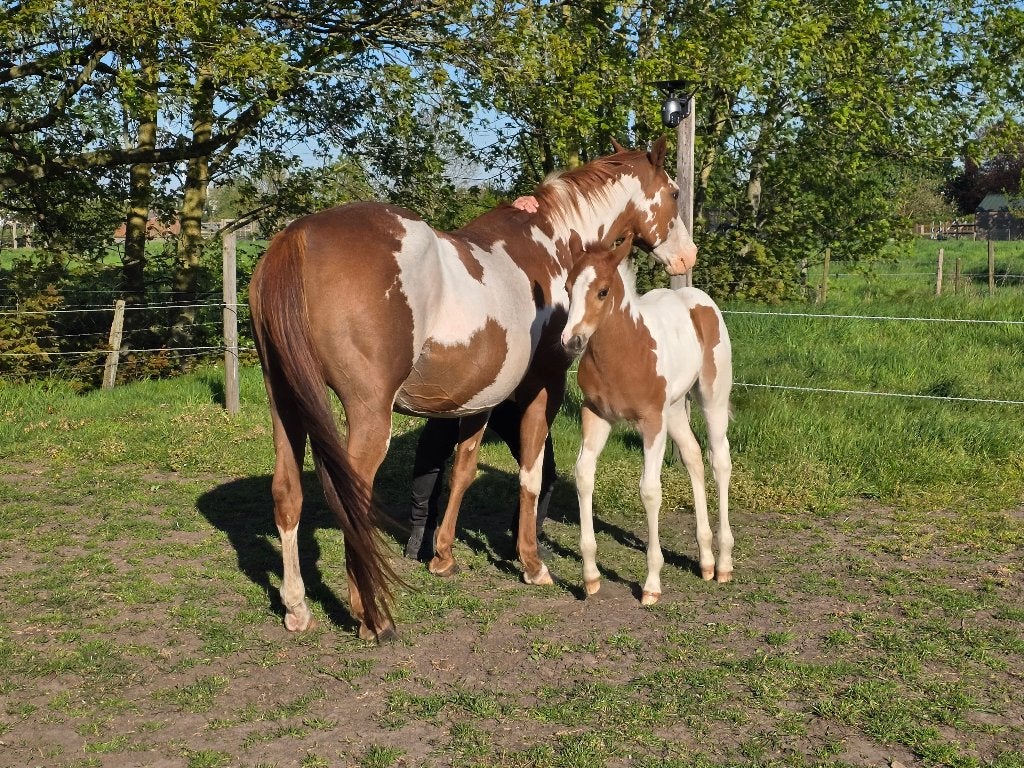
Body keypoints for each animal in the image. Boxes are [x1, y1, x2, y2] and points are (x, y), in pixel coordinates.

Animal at [248, 137, 698, 642]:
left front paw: (442, 557)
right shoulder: (545, 386)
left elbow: (461, 472)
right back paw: (373, 618)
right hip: (368, 415)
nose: (688, 256)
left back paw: (297, 607)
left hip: (285, 403)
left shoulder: (479, 400)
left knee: (287, 493)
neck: (551, 244)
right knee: (351, 501)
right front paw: (532, 564)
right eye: (675, 192)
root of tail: (298, 236)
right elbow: (531, 472)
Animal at [560, 235, 734, 605]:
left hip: (712, 398)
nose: (571, 341)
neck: (625, 351)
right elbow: (583, 475)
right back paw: (706, 560)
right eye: (567, 288)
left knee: (719, 461)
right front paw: (590, 577)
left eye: (602, 291)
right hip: (675, 409)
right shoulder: (596, 415)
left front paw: (652, 583)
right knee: (693, 457)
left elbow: (650, 490)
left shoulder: (651, 421)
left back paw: (724, 563)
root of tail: (698, 298)